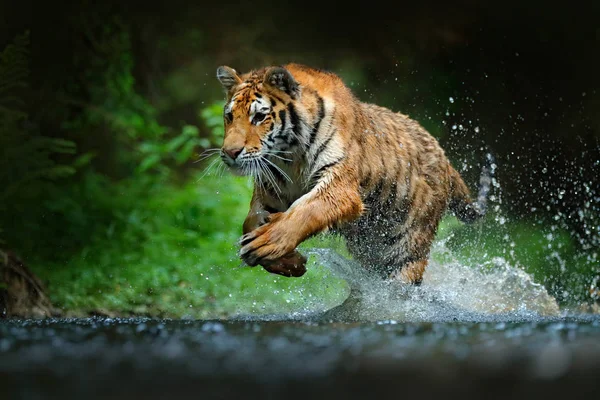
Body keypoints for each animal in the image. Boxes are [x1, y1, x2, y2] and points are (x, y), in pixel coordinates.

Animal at [216, 63, 492, 284]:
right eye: (229, 116)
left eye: (259, 117)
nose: (230, 152)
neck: (290, 156)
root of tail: (444, 157)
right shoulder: (273, 189)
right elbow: (250, 220)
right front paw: (288, 262)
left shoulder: (339, 185)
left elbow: (305, 211)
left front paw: (268, 242)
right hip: (372, 249)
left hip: (407, 250)